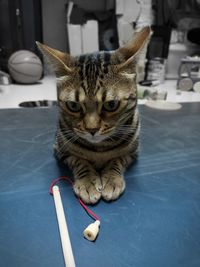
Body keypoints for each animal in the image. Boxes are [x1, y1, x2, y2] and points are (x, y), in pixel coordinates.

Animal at [37, 26, 150, 204]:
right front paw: (88, 182)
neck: (100, 149)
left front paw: (111, 179)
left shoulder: (133, 152)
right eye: (73, 105)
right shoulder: (61, 151)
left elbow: (116, 160)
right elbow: (80, 161)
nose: (92, 129)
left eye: (111, 104)